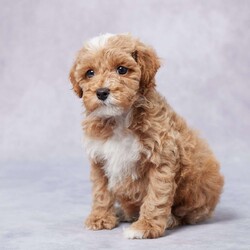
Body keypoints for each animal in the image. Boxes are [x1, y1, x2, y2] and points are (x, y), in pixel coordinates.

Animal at [69, 33, 225, 238]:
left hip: (199, 182)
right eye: (90, 73)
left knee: (187, 214)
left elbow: (156, 195)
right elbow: (101, 191)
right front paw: (100, 218)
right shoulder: (99, 160)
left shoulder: (161, 159)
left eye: (121, 70)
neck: (120, 118)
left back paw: (170, 219)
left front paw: (146, 227)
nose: (102, 92)